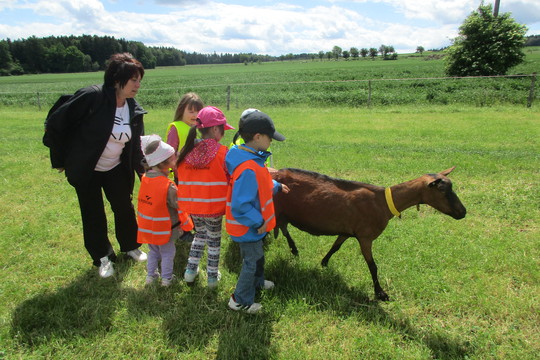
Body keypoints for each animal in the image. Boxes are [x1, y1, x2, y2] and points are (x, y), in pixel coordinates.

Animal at [272, 167, 466, 300]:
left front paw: (324, 262)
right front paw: (380, 293)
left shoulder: (347, 231)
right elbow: (373, 266)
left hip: (282, 214)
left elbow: (335, 247)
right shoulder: (365, 237)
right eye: (442, 190)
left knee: (283, 228)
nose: (463, 212)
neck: (383, 203)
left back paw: (294, 249)